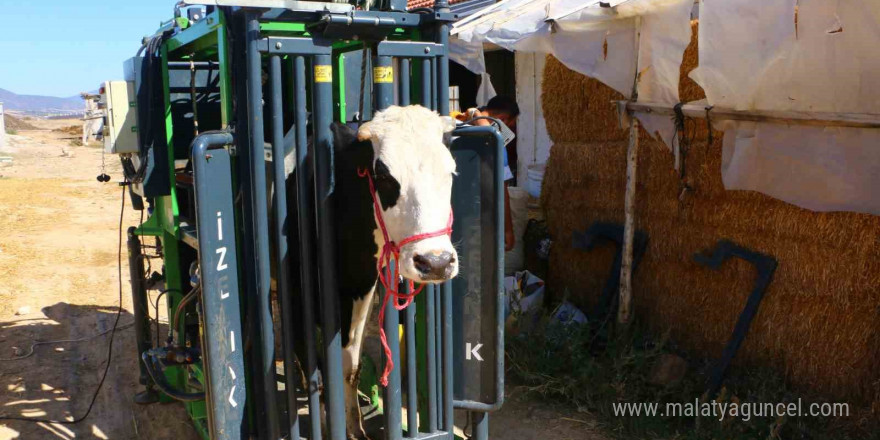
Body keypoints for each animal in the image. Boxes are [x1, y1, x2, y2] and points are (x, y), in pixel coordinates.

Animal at [288, 105, 460, 438]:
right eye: (383, 176)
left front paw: (354, 427)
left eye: (450, 173)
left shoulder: (361, 288)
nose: (436, 262)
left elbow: (349, 366)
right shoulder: (297, 292)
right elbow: (312, 360)